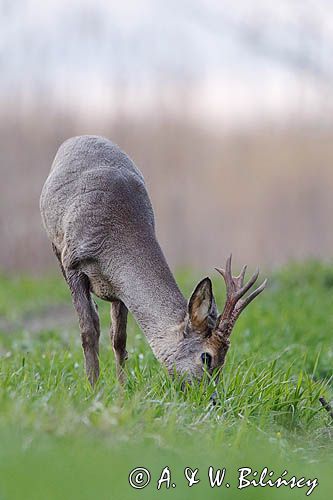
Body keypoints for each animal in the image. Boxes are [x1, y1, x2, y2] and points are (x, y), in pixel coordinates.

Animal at [40, 136, 266, 386]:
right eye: (207, 357)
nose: (211, 394)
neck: (113, 235)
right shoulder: (73, 263)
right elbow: (88, 331)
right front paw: (94, 388)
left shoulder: (118, 288)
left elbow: (119, 338)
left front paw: (122, 389)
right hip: (56, 246)